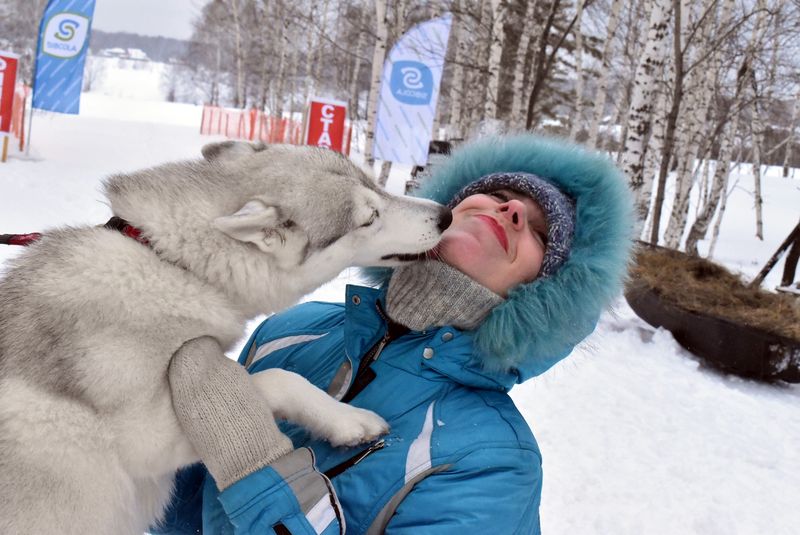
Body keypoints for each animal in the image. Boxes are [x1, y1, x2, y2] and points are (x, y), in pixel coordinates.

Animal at [0, 142, 450, 535]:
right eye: (369, 217)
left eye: (376, 184)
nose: (444, 215)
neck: (172, 262)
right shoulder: (150, 440)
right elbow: (271, 380)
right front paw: (347, 420)